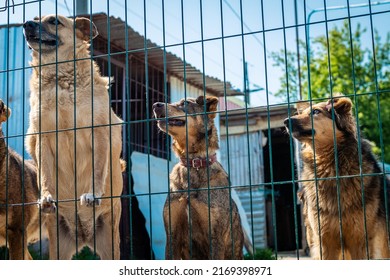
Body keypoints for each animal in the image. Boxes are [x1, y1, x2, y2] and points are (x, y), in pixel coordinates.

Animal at [23, 14, 123, 260]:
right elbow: (45, 175)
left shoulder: (99, 133)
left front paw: (93, 195)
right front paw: (46, 197)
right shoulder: (43, 138)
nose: (26, 24)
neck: (60, 78)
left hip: (111, 245)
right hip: (58, 249)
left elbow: (98, 170)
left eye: (54, 21)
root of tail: (84, 236)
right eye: (36, 18)